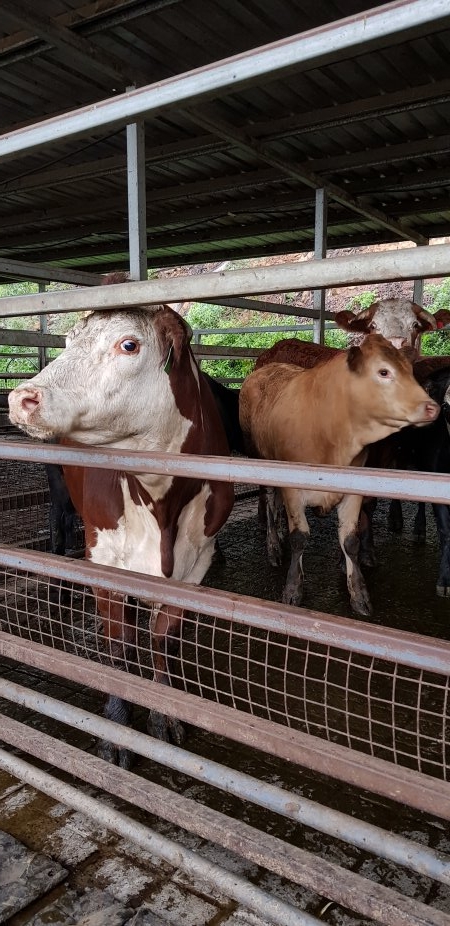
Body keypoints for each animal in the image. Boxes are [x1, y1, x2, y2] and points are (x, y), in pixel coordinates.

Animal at [8, 304, 236, 768]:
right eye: (68, 341)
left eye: (129, 344)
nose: (22, 397)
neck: (163, 503)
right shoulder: (105, 559)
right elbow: (118, 647)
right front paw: (116, 731)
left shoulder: (195, 567)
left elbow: (162, 640)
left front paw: (164, 715)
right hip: (59, 494)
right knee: (59, 532)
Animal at [241, 338, 438, 620]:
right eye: (383, 372)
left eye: (411, 372)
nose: (432, 407)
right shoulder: (293, 488)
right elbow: (299, 537)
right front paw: (292, 588)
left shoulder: (353, 490)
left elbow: (350, 540)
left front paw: (359, 594)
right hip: (260, 460)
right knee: (269, 502)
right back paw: (274, 547)